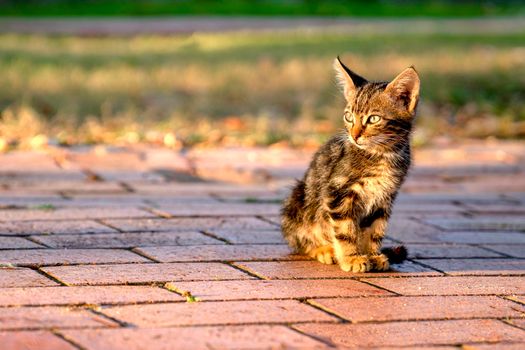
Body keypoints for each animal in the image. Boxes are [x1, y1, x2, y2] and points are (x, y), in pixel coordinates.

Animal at [280, 56, 420, 272]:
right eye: (349, 117)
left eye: (374, 119)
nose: (354, 135)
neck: (381, 154)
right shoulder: (338, 192)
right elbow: (345, 229)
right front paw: (351, 258)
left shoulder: (384, 197)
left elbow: (374, 229)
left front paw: (372, 255)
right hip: (297, 200)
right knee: (300, 239)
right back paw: (324, 249)